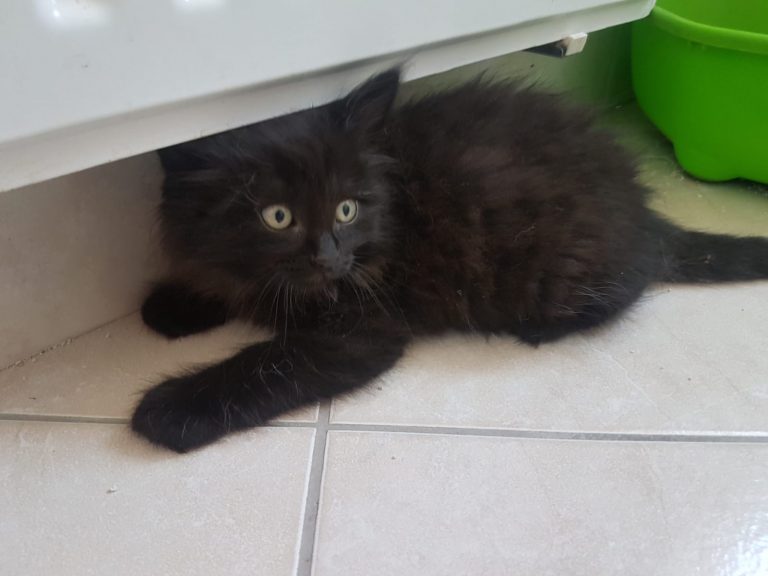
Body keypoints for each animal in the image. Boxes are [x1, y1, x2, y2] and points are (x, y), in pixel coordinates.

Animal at [132, 68, 768, 452]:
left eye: (345, 209)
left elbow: (265, 365)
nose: (330, 257)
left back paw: (542, 326)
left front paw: (168, 410)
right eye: (278, 216)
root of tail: (642, 207)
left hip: (565, 269)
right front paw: (174, 304)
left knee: (630, 285)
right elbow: (223, 280)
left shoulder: (361, 326)